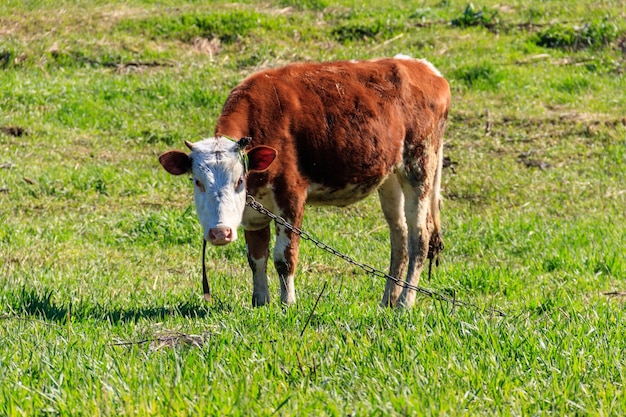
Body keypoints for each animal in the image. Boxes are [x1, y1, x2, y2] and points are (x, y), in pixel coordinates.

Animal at [158, 55, 446, 308]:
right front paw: (260, 303)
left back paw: (405, 303)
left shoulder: (291, 195)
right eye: (197, 182)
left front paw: (288, 303)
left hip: (419, 165)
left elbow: (284, 257)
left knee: (419, 237)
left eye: (239, 180)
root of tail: (424, 68)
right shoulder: (253, 210)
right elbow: (256, 257)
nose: (220, 233)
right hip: (390, 178)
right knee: (400, 237)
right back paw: (388, 300)